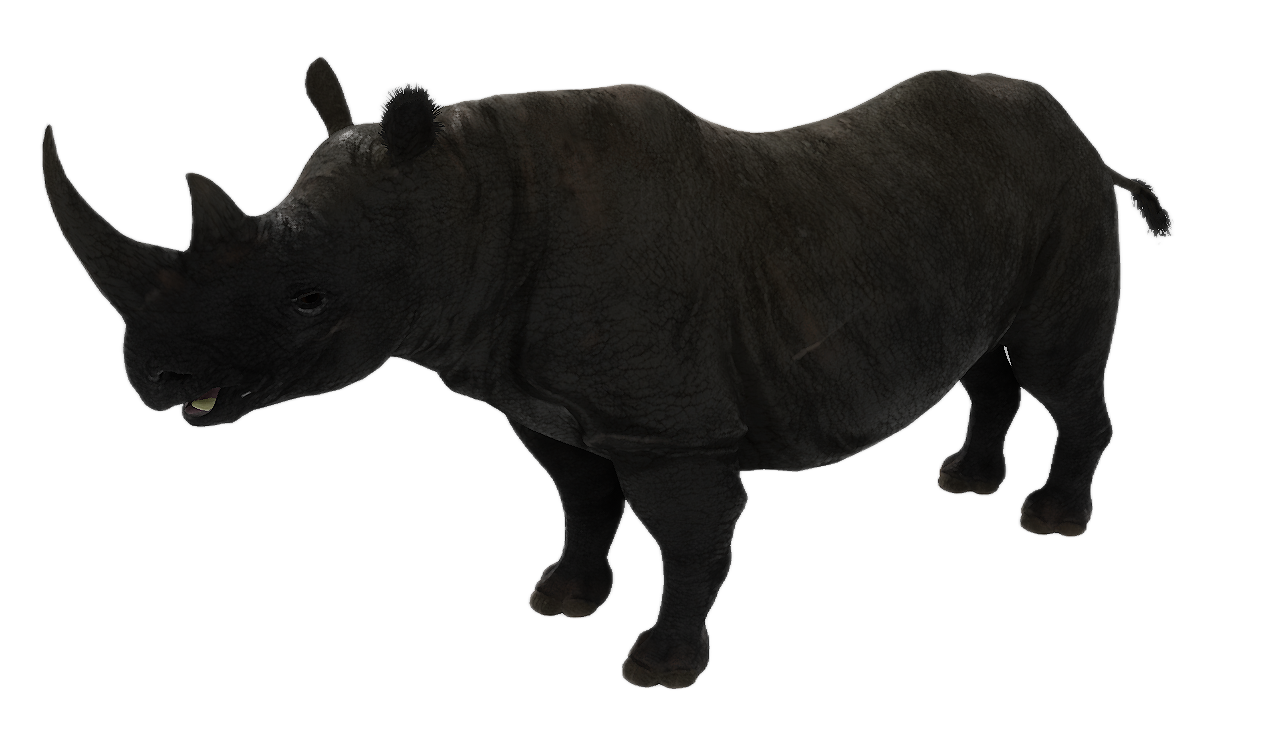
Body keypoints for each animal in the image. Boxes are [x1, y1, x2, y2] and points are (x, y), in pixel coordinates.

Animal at [41, 56, 1174, 689]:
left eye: (309, 299)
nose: (153, 376)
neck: (468, 204)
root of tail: (1086, 134)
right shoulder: (543, 400)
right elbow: (581, 502)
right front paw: (560, 600)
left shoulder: (670, 427)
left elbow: (691, 538)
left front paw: (660, 667)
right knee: (984, 357)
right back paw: (965, 483)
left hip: (1066, 193)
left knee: (1057, 366)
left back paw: (1050, 520)